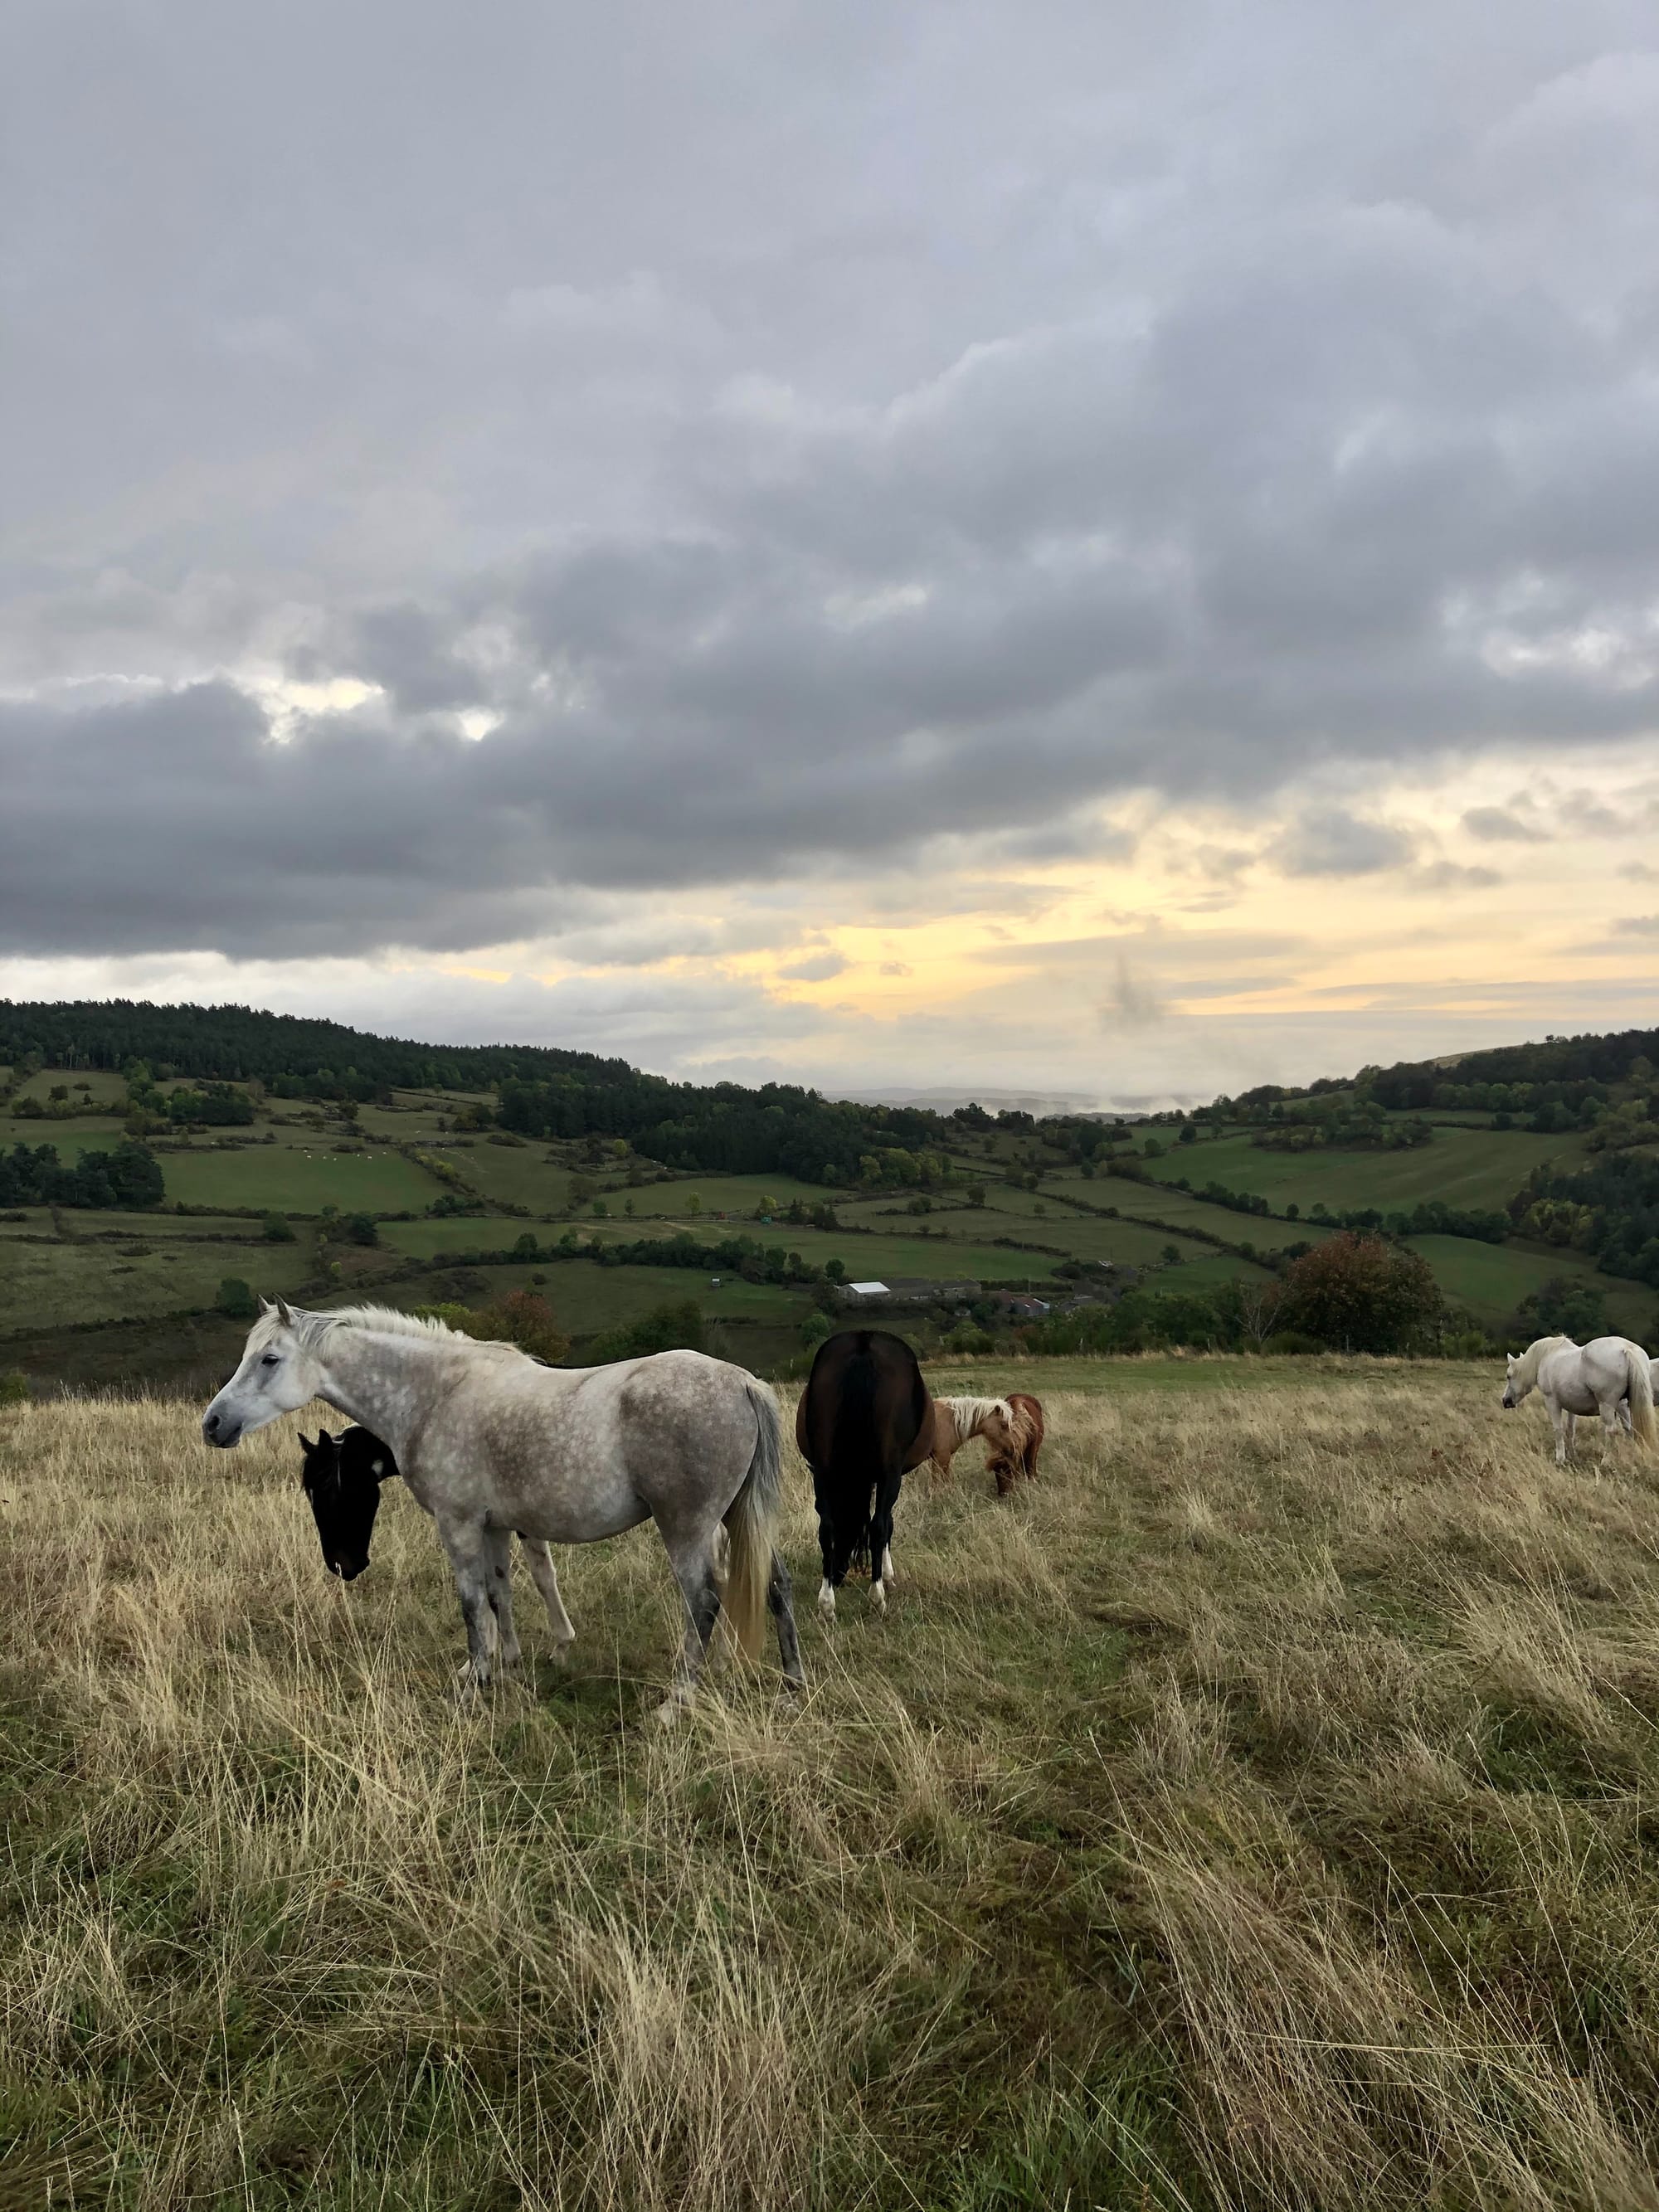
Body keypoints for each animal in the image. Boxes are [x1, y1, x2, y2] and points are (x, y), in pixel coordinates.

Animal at [207, 1300, 805, 1716]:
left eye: (269, 1359)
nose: (213, 1424)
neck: (435, 1395)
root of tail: (742, 1383)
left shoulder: (459, 1525)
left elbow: (473, 1605)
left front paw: (475, 1683)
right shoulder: (495, 1526)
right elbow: (502, 1594)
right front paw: (509, 1667)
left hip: (688, 1528)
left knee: (704, 1600)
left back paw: (676, 1703)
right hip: (736, 1519)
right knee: (774, 1584)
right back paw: (791, 1687)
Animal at [791, 1318, 937, 1619]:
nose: (838, 1574)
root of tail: (864, 1345)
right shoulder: (889, 1477)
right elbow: (886, 1524)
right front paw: (888, 1576)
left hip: (823, 1471)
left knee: (826, 1527)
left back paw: (827, 1602)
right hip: (889, 1474)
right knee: (878, 1526)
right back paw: (877, 1596)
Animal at [1504, 1327, 1654, 1468]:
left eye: (1509, 1376)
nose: (1505, 1401)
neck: (1548, 1355)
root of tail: (1626, 1348)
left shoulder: (1551, 1401)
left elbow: (1558, 1430)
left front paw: (1560, 1459)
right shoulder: (1572, 1406)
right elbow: (1570, 1430)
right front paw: (1572, 1454)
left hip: (1607, 1405)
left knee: (1611, 1430)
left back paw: (1606, 1461)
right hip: (1623, 1404)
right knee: (1629, 1429)